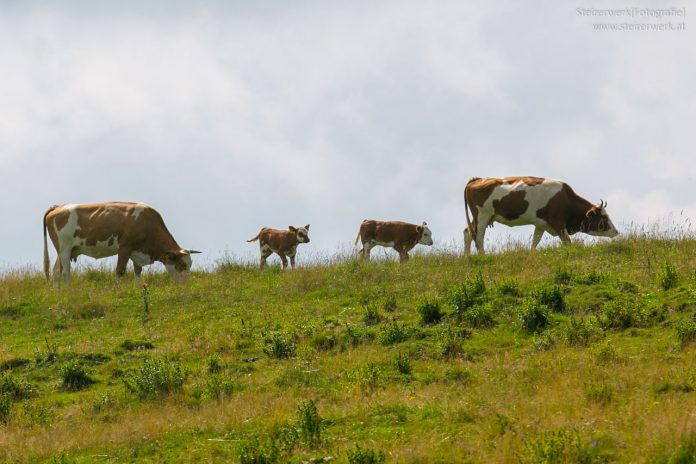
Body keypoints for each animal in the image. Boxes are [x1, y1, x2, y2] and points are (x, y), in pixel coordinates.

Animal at [43, 202, 200, 286]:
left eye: (190, 264)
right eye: (182, 265)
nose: (187, 283)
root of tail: (58, 207)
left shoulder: (137, 251)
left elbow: (137, 271)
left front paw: (137, 287)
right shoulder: (125, 248)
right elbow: (120, 271)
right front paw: (118, 289)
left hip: (66, 250)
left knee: (56, 271)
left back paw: (59, 294)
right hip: (64, 247)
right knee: (65, 271)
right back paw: (69, 291)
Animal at [462, 176, 620, 256]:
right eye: (603, 218)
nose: (616, 231)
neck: (566, 199)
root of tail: (477, 179)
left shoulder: (541, 224)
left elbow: (535, 241)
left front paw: (532, 255)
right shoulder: (558, 223)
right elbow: (567, 242)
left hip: (483, 217)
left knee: (467, 232)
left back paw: (468, 257)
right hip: (482, 216)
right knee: (479, 237)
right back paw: (482, 256)